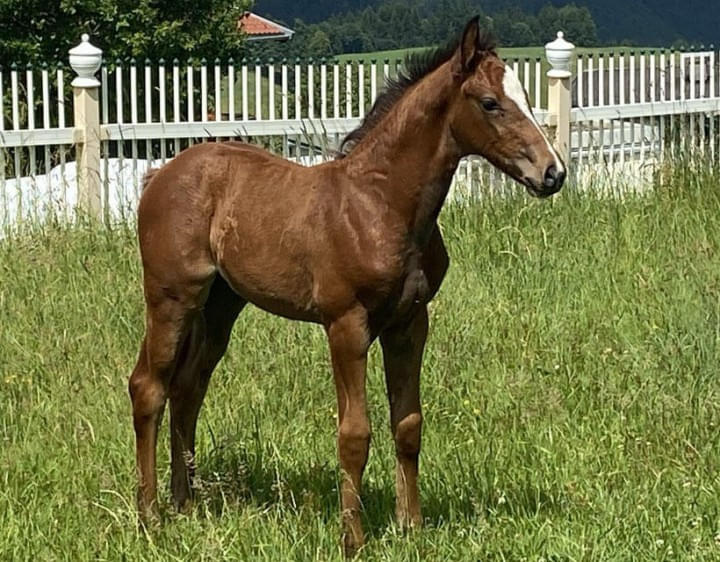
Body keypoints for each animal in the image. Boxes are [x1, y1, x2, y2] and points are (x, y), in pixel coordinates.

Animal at [129, 16, 568, 552]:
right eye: (489, 102)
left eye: (524, 94)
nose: (552, 173)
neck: (381, 204)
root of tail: (160, 175)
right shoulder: (346, 324)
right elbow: (354, 434)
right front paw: (353, 538)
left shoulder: (409, 323)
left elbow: (408, 425)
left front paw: (411, 527)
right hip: (172, 297)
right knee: (149, 387)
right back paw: (150, 516)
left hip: (220, 305)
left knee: (188, 387)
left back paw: (185, 504)